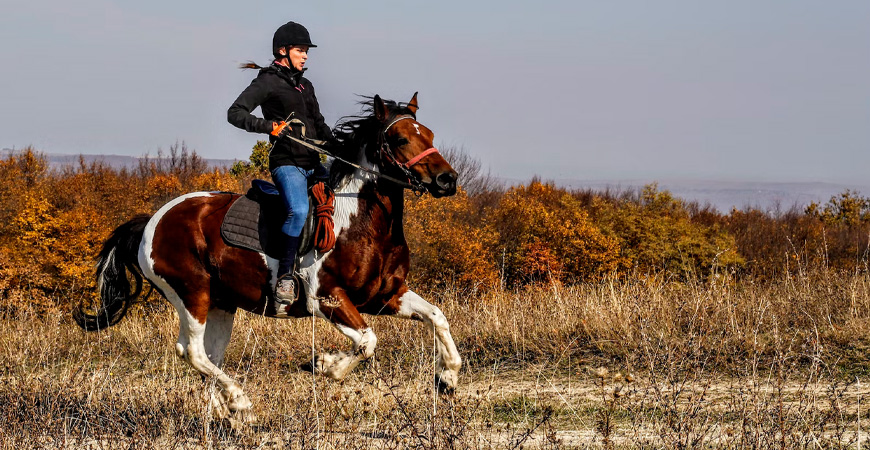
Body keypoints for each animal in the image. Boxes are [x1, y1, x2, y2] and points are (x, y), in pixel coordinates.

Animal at [75, 94, 464, 422]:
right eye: (399, 138)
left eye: (428, 134)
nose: (447, 180)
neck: (359, 220)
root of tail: (152, 221)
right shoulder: (328, 298)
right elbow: (368, 342)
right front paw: (324, 365)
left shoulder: (384, 295)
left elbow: (437, 317)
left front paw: (446, 378)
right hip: (191, 293)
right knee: (192, 351)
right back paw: (239, 401)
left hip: (221, 303)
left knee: (207, 356)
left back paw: (227, 414)